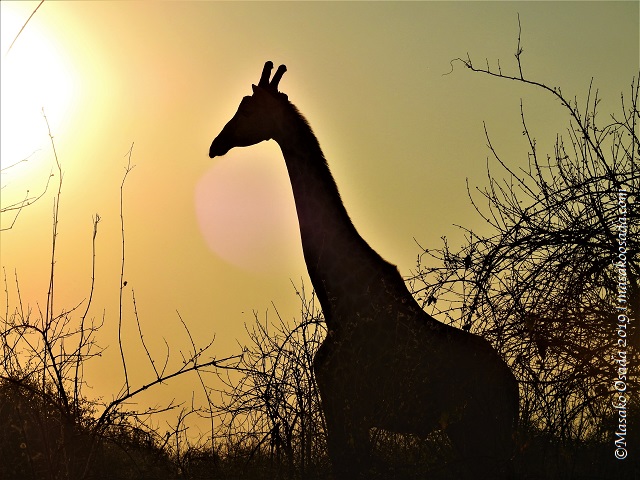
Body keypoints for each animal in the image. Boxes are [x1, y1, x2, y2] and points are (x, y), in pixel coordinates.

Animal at [209, 62, 519, 479]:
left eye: (247, 109)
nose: (216, 144)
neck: (339, 306)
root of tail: (512, 388)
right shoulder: (345, 410)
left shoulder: (345, 407)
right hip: (472, 434)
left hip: (480, 430)